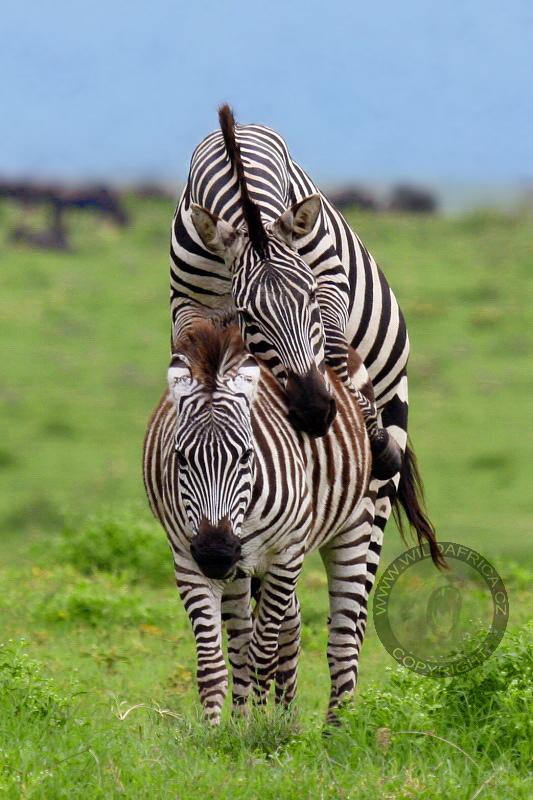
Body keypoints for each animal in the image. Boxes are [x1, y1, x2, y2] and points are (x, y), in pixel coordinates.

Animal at [142, 316, 440, 720]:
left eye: (246, 455)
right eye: (181, 458)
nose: (216, 554)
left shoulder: (287, 553)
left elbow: (262, 655)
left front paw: (260, 728)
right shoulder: (187, 558)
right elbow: (214, 664)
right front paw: (219, 728)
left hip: (354, 527)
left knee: (343, 634)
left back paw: (336, 726)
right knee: (258, 633)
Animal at [168, 106, 442, 668]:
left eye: (312, 299)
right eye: (248, 316)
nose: (316, 411)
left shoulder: (332, 289)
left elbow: (336, 353)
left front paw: (370, 432)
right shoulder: (187, 308)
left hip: (376, 490)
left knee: (349, 626)